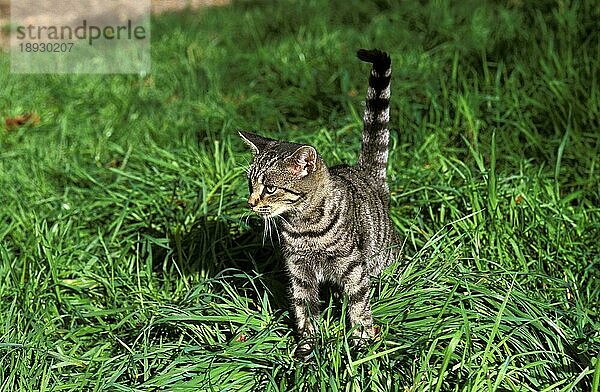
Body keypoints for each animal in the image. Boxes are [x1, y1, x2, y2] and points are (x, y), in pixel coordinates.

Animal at [238, 49, 398, 346]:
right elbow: (303, 309)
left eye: (270, 188)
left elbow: (359, 304)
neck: (303, 226)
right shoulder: (298, 270)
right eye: (250, 183)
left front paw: (361, 340)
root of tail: (364, 173)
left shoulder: (353, 266)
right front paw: (306, 344)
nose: (251, 203)